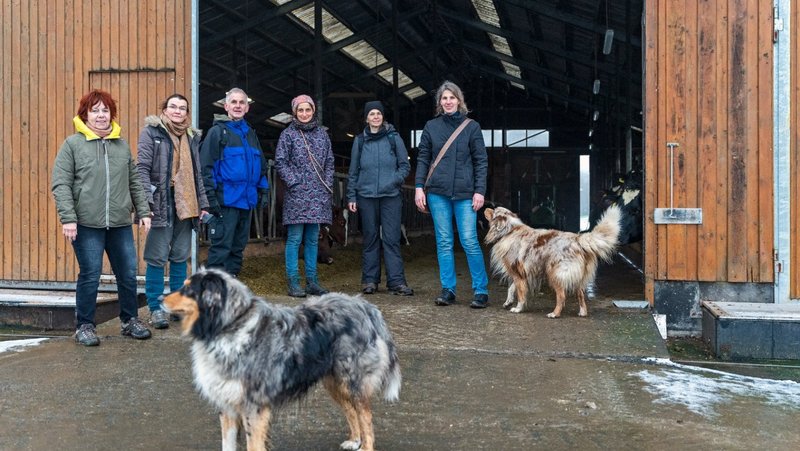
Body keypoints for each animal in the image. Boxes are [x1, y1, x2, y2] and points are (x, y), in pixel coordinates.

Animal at [163, 270, 400, 451]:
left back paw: (364, 445)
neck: (229, 326)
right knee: (352, 411)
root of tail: (363, 305)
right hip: (334, 382)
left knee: (365, 416)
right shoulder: (227, 404)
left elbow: (253, 445)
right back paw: (354, 440)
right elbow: (227, 444)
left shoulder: (253, 407)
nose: (159, 299)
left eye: (188, 289)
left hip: (352, 381)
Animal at [482, 206, 620, 318]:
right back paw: (582, 312)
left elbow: (520, 293)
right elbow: (511, 288)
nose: (485, 207)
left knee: (562, 296)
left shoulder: (517, 272)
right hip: (576, 278)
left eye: (494, 211)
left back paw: (554, 314)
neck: (509, 230)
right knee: (580, 295)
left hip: (555, 274)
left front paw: (517, 308)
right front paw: (508, 302)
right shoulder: (521, 274)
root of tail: (577, 240)